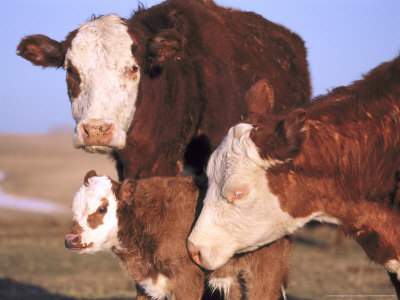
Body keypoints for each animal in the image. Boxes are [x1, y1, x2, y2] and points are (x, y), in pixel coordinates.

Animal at [65, 171, 290, 300]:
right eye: (74, 207)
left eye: (102, 209)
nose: (71, 239)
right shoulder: (145, 283)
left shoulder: (187, 279)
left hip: (266, 270)